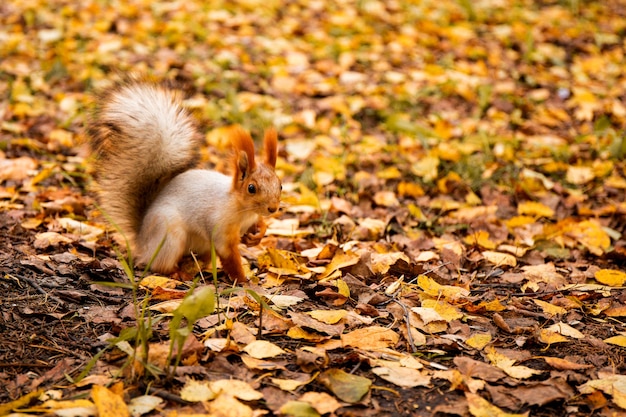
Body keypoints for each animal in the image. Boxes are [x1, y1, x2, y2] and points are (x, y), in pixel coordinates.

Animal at [84, 80, 280, 282]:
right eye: (251, 188)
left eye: (280, 185)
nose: (273, 208)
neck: (243, 210)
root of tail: (143, 241)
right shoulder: (220, 227)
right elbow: (229, 256)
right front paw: (241, 280)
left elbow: (258, 226)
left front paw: (258, 234)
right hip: (170, 236)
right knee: (159, 265)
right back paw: (178, 273)